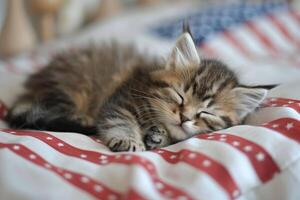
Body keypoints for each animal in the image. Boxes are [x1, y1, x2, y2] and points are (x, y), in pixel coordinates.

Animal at [6, 31, 270, 152]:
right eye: (180, 96)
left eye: (206, 113)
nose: (184, 118)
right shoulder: (120, 101)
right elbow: (120, 121)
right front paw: (128, 140)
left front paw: (158, 136)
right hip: (72, 88)